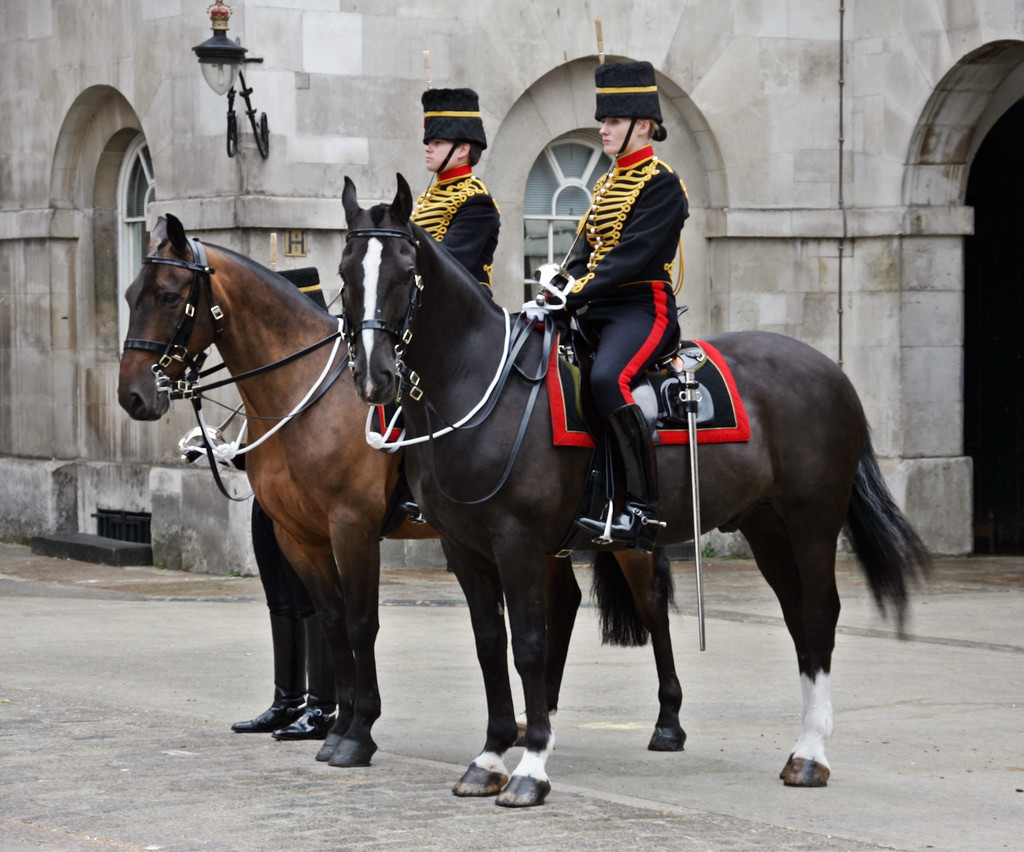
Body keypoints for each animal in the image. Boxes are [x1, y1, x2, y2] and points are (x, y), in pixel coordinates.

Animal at [339, 175, 933, 806]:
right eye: (346, 271)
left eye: (406, 271)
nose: (375, 377)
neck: (479, 386)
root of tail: (829, 367)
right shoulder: (465, 548)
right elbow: (490, 645)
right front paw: (491, 756)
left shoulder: (518, 543)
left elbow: (528, 643)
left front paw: (531, 766)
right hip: (766, 526)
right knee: (797, 617)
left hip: (811, 521)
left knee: (819, 613)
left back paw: (811, 752)